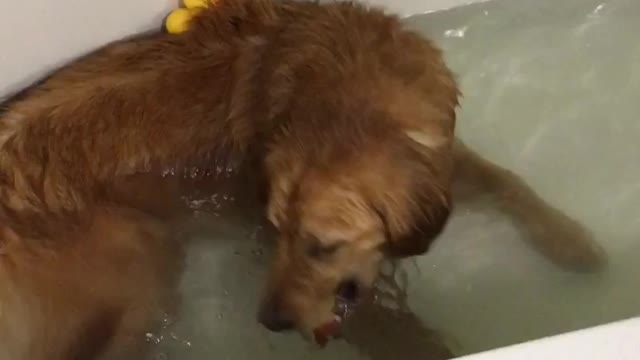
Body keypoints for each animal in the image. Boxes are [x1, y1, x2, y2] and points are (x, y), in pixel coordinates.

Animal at [0, 0, 604, 358]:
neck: (339, 85)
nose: (269, 322)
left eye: (321, 245)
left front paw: (572, 242)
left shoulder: (441, 155)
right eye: (276, 233)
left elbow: (508, 182)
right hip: (143, 255)